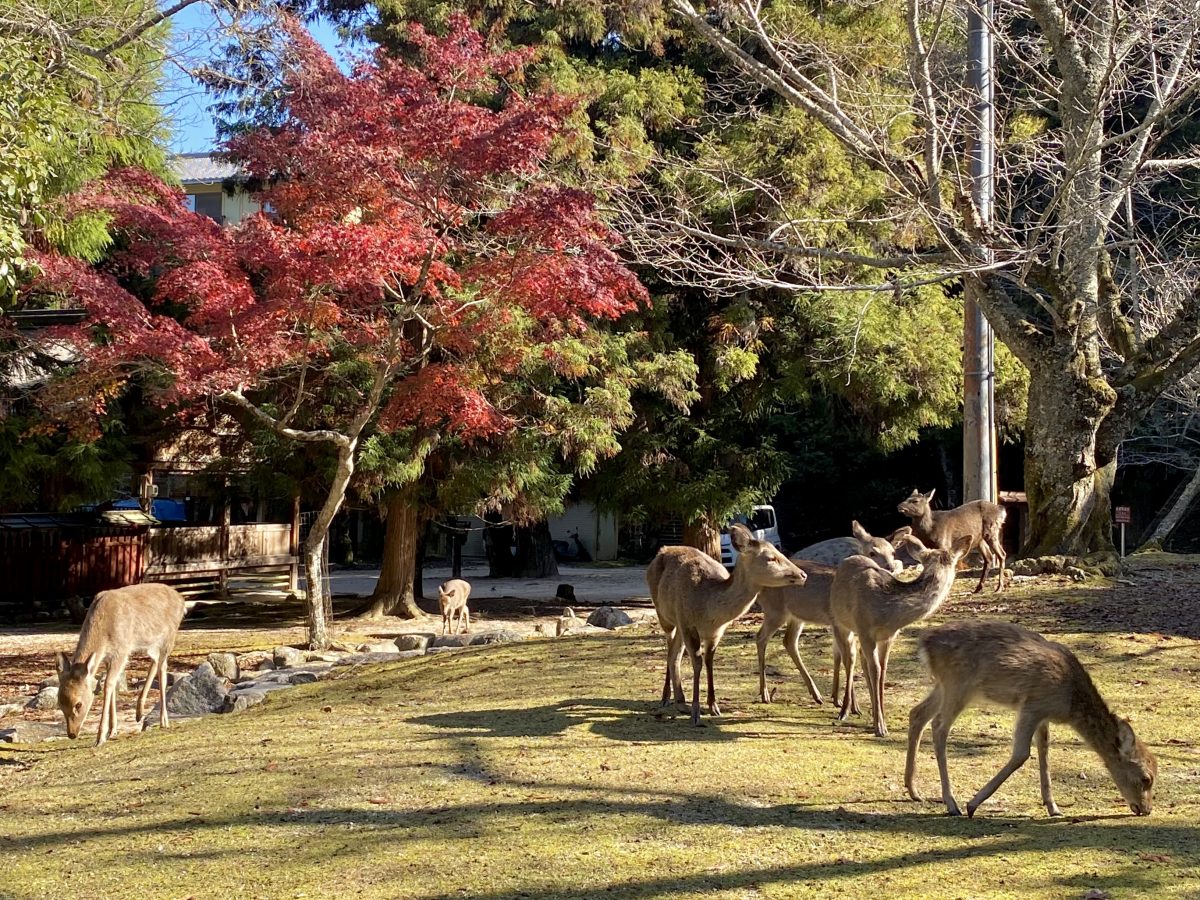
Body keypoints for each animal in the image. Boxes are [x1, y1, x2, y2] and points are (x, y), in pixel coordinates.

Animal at [56, 582, 187, 747]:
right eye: (59, 703)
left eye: (78, 704)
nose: (72, 734)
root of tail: (182, 600)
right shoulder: (109, 657)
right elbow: (112, 685)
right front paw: (112, 731)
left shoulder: (122, 650)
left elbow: (108, 685)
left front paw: (100, 737)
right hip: (152, 642)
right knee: (155, 662)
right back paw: (139, 712)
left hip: (169, 636)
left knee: (162, 668)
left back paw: (164, 721)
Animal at [647, 523, 807, 726]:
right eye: (771, 558)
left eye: (780, 552)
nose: (803, 574)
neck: (709, 608)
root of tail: (662, 550)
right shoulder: (687, 622)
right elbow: (697, 663)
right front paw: (696, 713)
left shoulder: (717, 632)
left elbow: (709, 661)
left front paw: (713, 706)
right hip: (664, 616)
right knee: (669, 650)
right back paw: (666, 698)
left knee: (674, 654)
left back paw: (680, 700)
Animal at [756, 521, 902, 706]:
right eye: (872, 552)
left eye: (893, 552)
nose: (890, 567)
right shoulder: (837, 622)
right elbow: (847, 657)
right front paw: (852, 705)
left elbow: (840, 655)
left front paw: (837, 698)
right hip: (775, 610)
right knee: (761, 638)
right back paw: (765, 693)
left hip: (796, 615)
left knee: (789, 641)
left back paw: (816, 694)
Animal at [830, 532, 973, 737]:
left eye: (950, 561)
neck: (888, 612)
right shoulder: (864, 628)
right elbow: (876, 671)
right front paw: (880, 727)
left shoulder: (889, 636)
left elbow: (882, 672)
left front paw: (881, 722)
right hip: (840, 621)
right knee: (849, 659)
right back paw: (845, 710)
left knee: (862, 660)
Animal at [906, 620, 1157, 818]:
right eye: (1146, 778)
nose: (1146, 809)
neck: (1069, 702)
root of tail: (925, 643)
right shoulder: (1032, 706)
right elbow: (1021, 754)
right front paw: (972, 805)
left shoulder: (1043, 716)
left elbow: (1044, 751)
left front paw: (1053, 807)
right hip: (959, 684)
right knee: (939, 727)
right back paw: (952, 804)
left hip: (944, 685)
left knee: (917, 714)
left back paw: (914, 790)